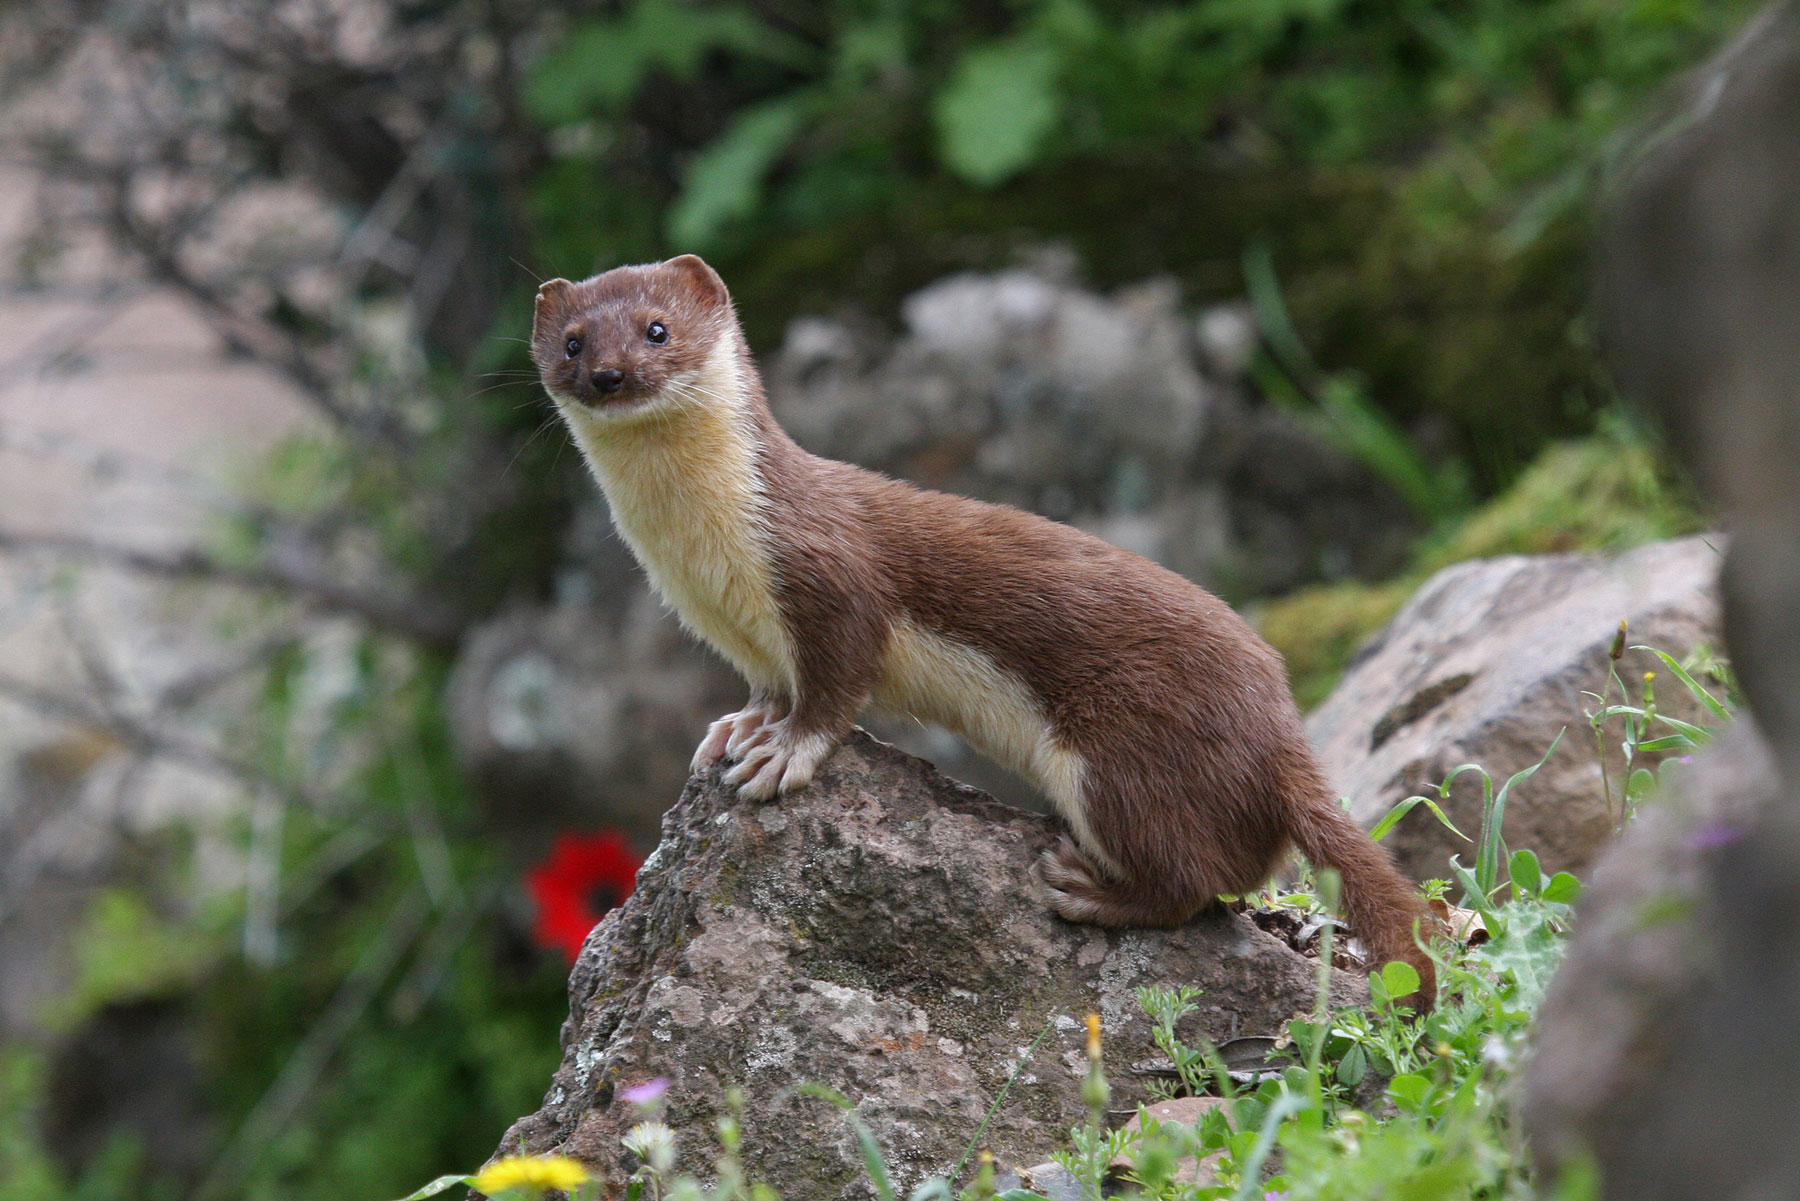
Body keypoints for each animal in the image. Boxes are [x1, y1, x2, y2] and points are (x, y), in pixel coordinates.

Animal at [529, 255, 1432, 1008]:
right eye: (572, 342)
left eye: (657, 328)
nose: (609, 374)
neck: (706, 565)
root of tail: (1281, 729)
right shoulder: (738, 632)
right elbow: (767, 687)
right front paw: (737, 728)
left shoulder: (829, 580)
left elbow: (836, 684)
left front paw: (782, 752)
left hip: (1120, 755)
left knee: (1191, 880)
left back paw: (1086, 888)